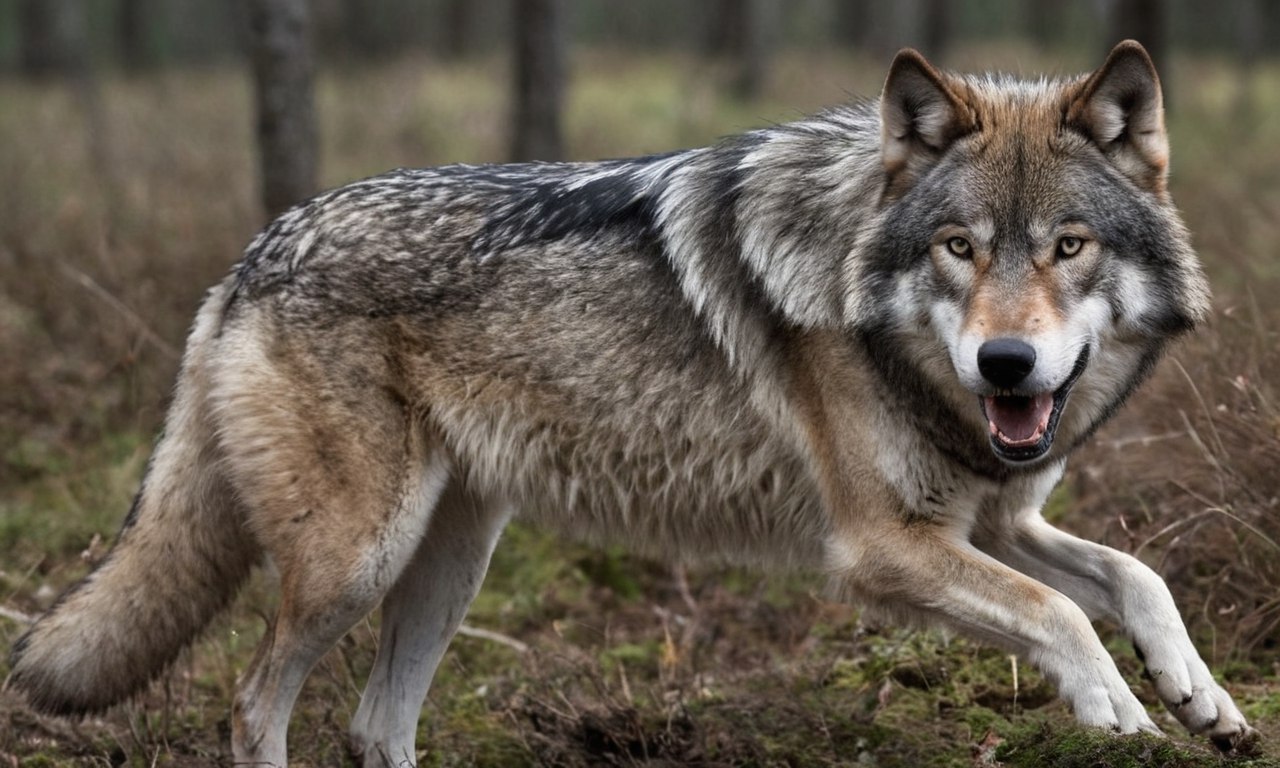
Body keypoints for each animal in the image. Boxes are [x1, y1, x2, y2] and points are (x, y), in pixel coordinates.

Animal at [5, 43, 1254, 768]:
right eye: (959, 247)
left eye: (1065, 247)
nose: (1005, 364)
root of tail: (254, 251)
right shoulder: (881, 548)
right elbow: (1059, 616)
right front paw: (1121, 717)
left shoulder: (995, 517)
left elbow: (1132, 579)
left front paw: (1199, 699)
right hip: (356, 560)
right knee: (255, 708)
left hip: (449, 562)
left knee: (370, 728)